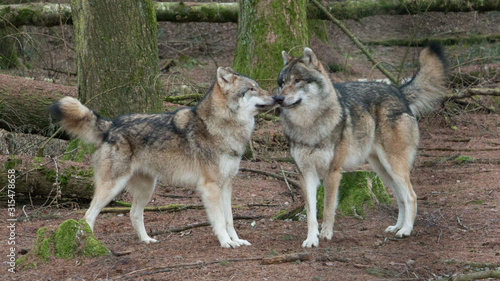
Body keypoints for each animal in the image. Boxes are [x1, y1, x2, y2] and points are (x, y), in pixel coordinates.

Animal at [48, 66, 276, 246]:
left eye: (258, 86)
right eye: (252, 88)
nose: (277, 97)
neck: (220, 126)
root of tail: (111, 125)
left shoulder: (227, 185)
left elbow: (230, 219)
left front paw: (236, 240)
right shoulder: (210, 187)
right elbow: (220, 220)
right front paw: (226, 243)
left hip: (147, 189)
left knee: (133, 214)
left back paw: (146, 240)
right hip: (112, 187)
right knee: (88, 216)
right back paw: (92, 244)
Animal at [276, 44, 448, 246]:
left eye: (297, 80)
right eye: (282, 82)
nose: (278, 98)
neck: (308, 124)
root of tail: (398, 91)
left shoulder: (333, 172)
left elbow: (327, 208)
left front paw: (326, 234)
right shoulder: (306, 173)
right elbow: (311, 213)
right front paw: (311, 239)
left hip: (394, 167)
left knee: (411, 196)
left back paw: (405, 230)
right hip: (383, 171)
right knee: (401, 198)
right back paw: (396, 227)